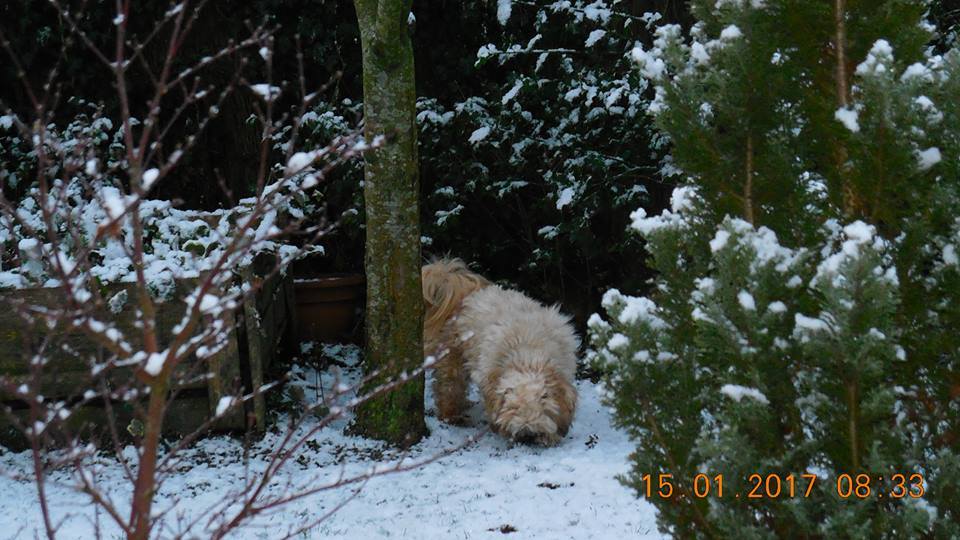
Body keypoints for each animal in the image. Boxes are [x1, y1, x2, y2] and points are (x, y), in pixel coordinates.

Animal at [422, 260, 576, 446]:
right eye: (513, 408)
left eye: (542, 407)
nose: (527, 435)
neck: (528, 351)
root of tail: (468, 292)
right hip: (453, 359)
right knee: (449, 387)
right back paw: (452, 415)